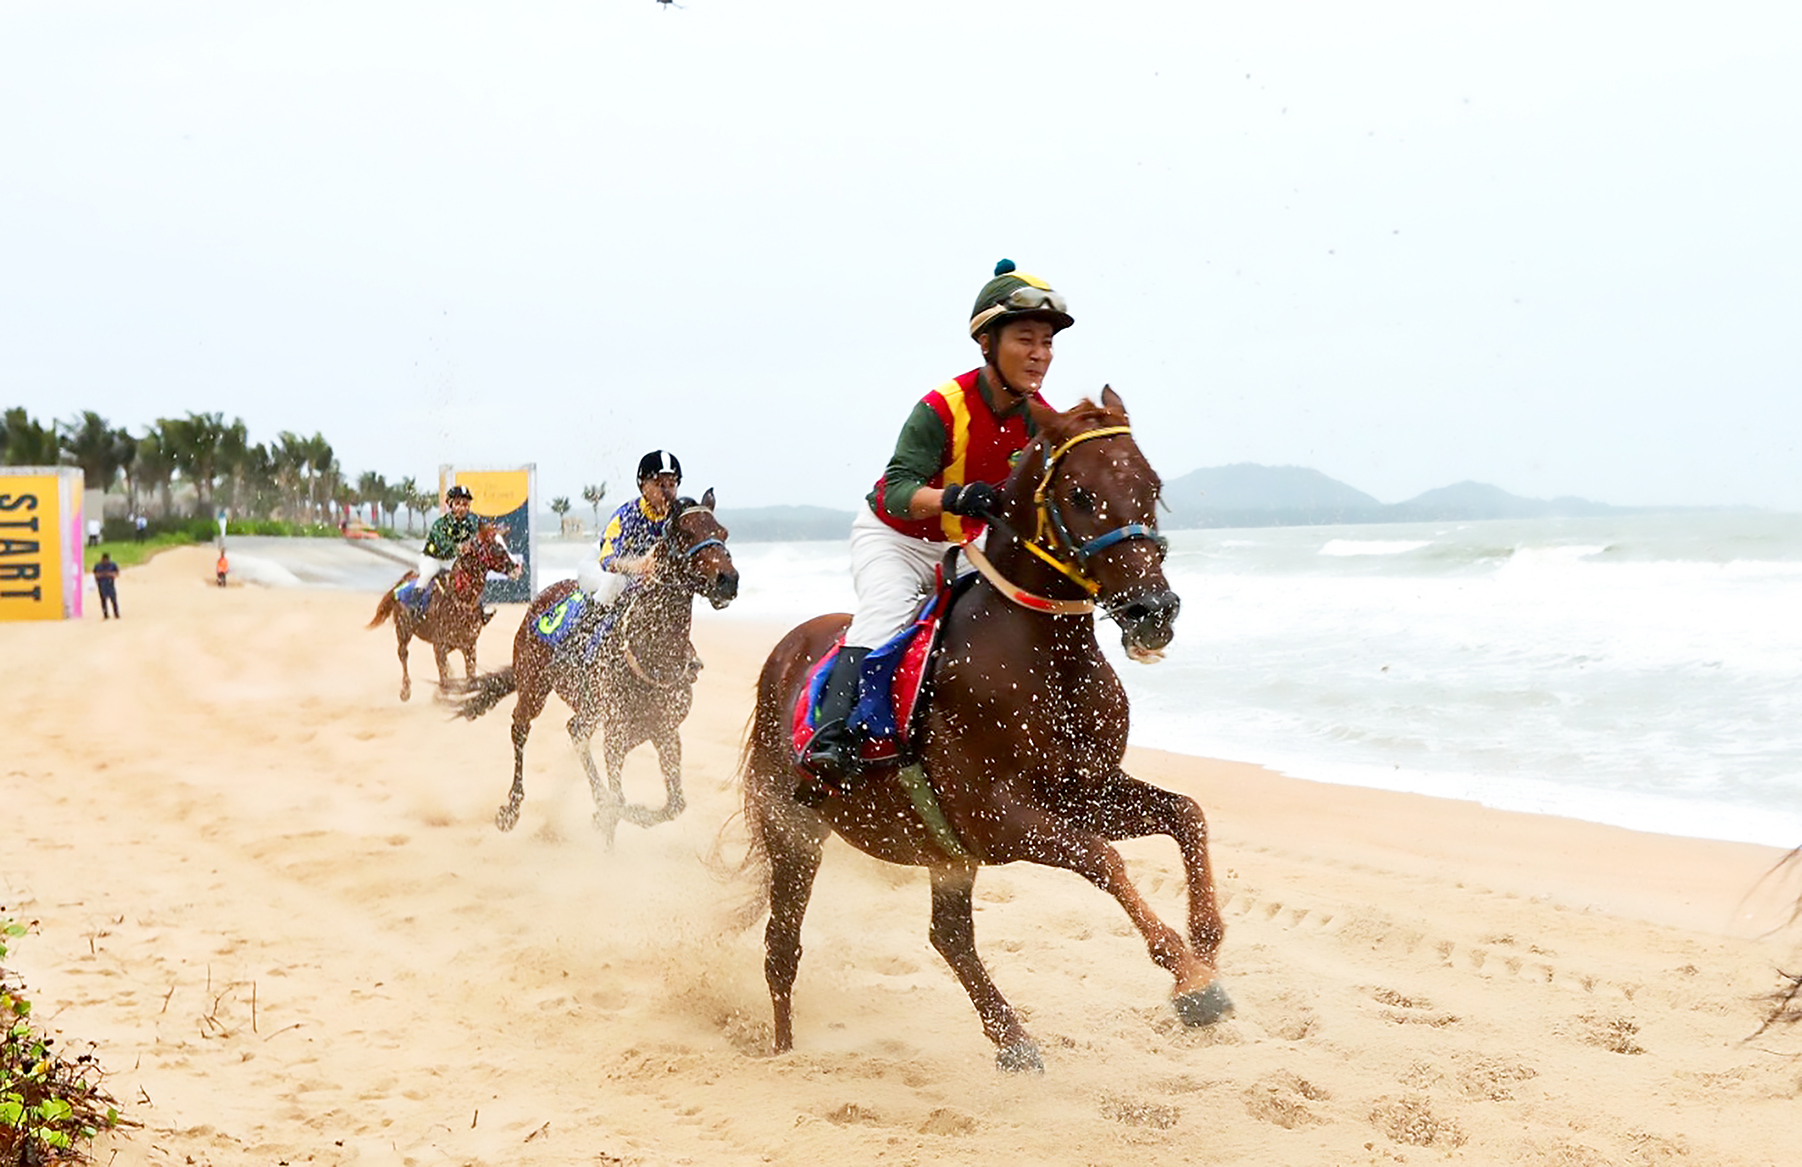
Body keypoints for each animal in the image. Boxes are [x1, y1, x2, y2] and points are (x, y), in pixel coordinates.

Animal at [358, 522, 515, 702]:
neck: (460, 599)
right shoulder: (440, 646)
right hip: (403, 631)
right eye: (495, 546)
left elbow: (471, 680)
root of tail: (403, 580)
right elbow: (444, 682)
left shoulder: (469, 646)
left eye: (504, 543)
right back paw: (405, 690)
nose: (516, 566)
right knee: (403, 654)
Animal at [464, 489, 746, 839]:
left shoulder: (665, 730)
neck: (654, 653)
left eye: (723, 533)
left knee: (576, 730)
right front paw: (607, 815)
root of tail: (541, 598)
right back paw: (511, 808)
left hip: (587, 707)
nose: (727, 580)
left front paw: (612, 812)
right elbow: (619, 801)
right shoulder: (616, 734)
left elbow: (673, 806)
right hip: (533, 686)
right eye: (687, 533)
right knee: (521, 728)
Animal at [738, 389, 1232, 1066]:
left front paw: (1204, 943)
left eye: (1153, 487)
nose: (1152, 611)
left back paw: (1013, 1041)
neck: (1041, 654)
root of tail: (785, 652)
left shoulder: (1084, 789)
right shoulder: (995, 818)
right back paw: (786, 1053)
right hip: (795, 829)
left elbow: (1186, 813)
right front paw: (1190, 979)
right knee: (781, 947)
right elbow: (1102, 860)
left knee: (948, 936)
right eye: (1080, 493)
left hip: (941, 850)